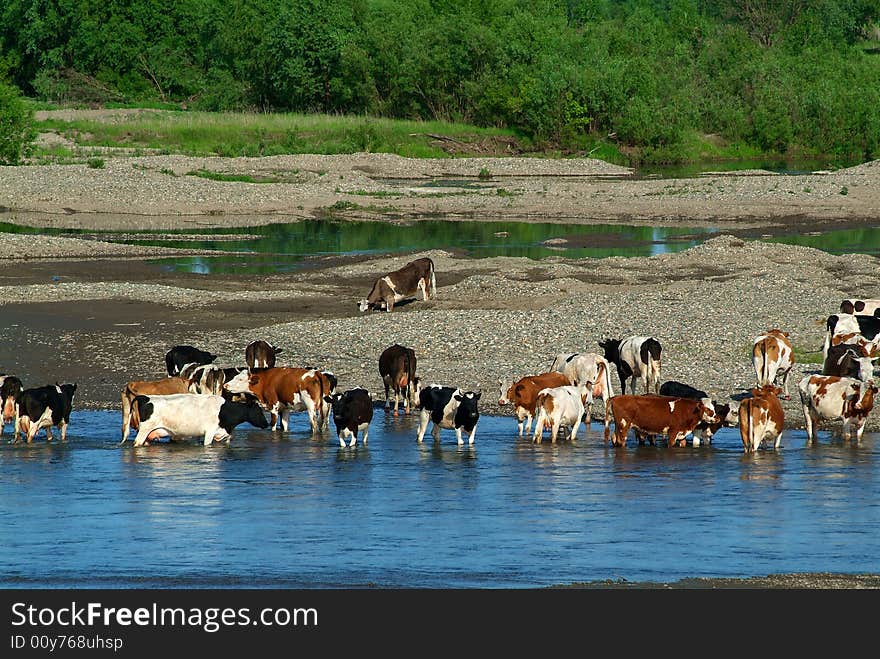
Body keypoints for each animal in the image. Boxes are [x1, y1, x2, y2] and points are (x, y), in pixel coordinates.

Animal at [125, 392, 266, 448]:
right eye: (259, 410)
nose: (266, 424)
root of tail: (146, 397)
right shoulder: (209, 432)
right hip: (144, 430)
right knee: (137, 443)